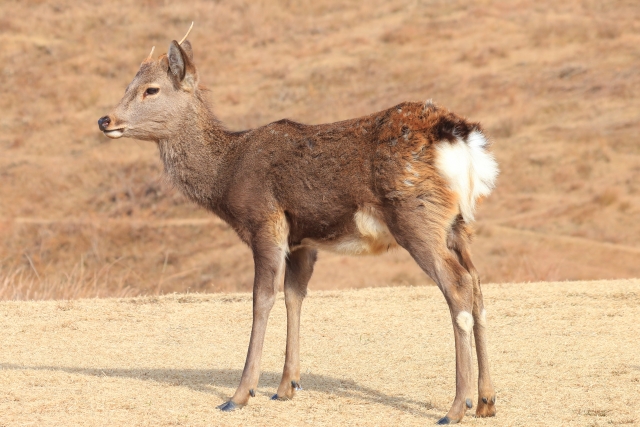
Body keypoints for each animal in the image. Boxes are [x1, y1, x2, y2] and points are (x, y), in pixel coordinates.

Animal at [99, 25, 500, 426]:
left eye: (151, 89)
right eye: (128, 84)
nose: (105, 120)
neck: (226, 175)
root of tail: (460, 138)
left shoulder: (265, 220)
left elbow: (262, 298)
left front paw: (240, 394)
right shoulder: (302, 240)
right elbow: (295, 295)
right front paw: (286, 386)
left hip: (416, 216)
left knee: (458, 285)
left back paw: (456, 406)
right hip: (458, 224)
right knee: (477, 284)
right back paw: (486, 400)